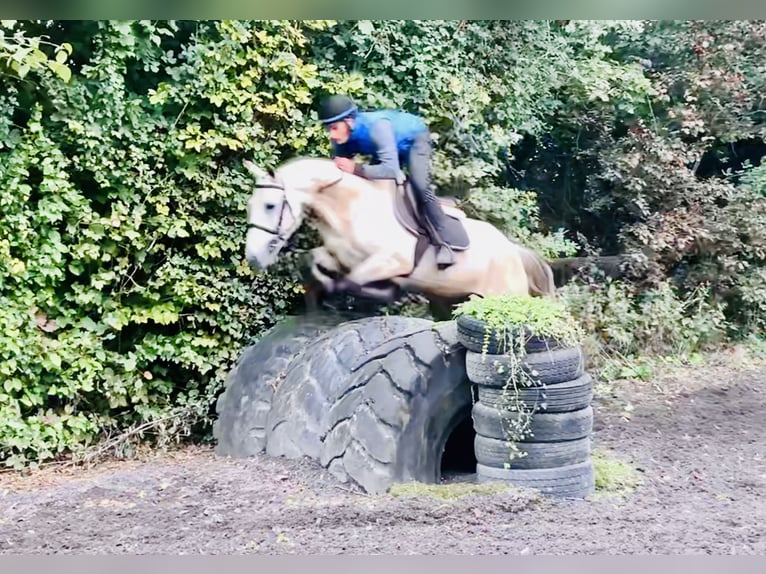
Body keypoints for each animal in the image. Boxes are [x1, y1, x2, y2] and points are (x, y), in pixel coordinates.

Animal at [243, 156, 556, 319]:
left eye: (269, 206)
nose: (253, 258)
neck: (350, 208)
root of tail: (514, 251)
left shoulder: (392, 261)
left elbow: (352, 281)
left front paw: (387, 294)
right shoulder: (339, 255)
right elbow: (313, 260)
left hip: (505, 295)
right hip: (452, 300)